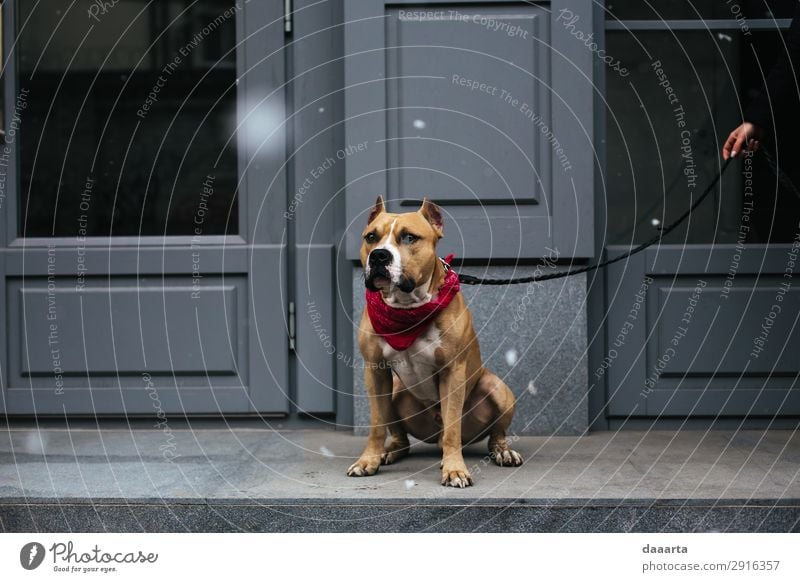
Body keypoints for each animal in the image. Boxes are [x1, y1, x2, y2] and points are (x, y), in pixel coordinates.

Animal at [346, 198, 520, 490]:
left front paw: (454, 469)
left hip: (497, 388)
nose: (379, 255)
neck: (407, 308)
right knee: (401, 437)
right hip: (395, 389)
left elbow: (452, 429)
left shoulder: (453, 371)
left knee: (494, 433)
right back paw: (389, 451)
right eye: (371, 237)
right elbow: (377, 424)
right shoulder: (375, 370)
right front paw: (368, 460)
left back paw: (503, 451)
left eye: (409, 237)